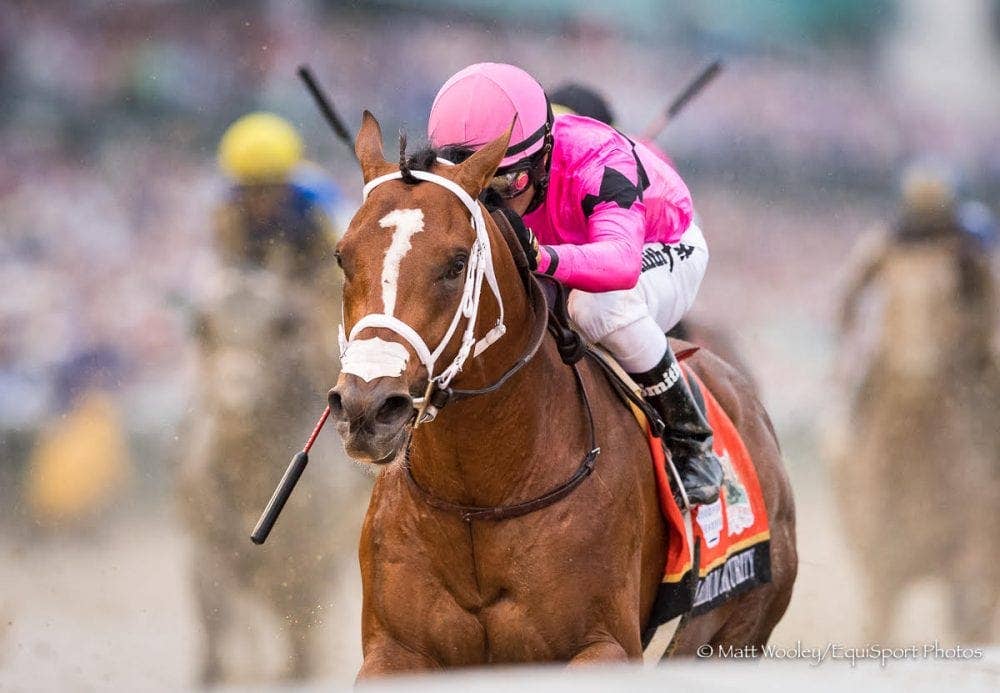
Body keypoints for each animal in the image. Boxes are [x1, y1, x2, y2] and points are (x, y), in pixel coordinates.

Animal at [178, 265, 369, 683]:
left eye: (282, 326)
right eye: (204, 326)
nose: (237, 389)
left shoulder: (309, 563)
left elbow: (301, 649)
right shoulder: (208, 553)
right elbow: (215, 646)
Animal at [328, 112, 797, 676]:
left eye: (456, 263)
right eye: (342, 256)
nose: (367, 409)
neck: (477, 498)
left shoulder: (604, 646)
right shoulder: (396, 651)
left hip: (738, 634)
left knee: (608, 309)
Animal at [834, 231, 1000, 642]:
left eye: (945, 300)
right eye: (889, 301)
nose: (916, 370)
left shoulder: (975, 550)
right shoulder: (883, 563)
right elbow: (877, 623)